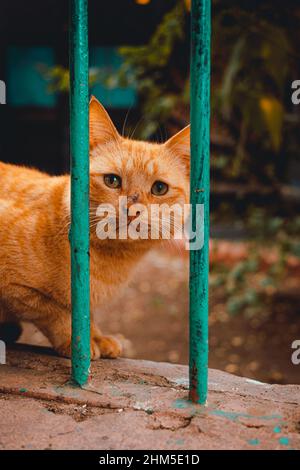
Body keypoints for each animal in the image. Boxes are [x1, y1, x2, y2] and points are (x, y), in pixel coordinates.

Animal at [0, 96, 190, 360]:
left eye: (159, 188)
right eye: (112, 180)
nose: (133, 209)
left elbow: (83, 315)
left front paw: (97, 337)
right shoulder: (18, 290)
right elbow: (55, 311)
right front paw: (77, 342)